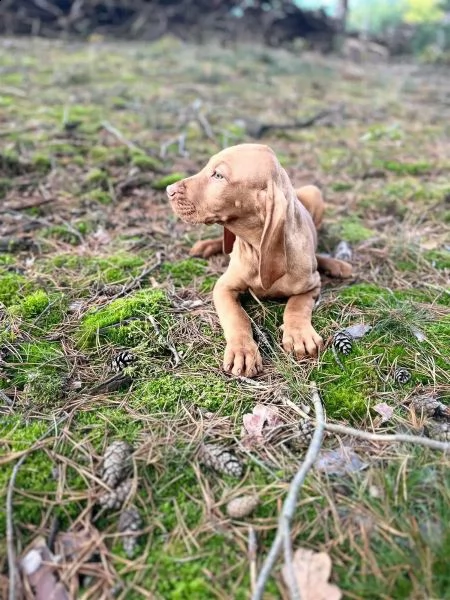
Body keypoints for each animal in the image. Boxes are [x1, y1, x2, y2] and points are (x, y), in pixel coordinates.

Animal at [167, 144, 354, 378]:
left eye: (218, 175)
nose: (168, 190)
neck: (256, 249)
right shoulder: (223, 287)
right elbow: (237, 317)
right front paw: (242, 351)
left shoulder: (312, 286)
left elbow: (296, 306)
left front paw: (300, 335)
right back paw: (206, 246)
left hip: (314, 194)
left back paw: (337, 265)